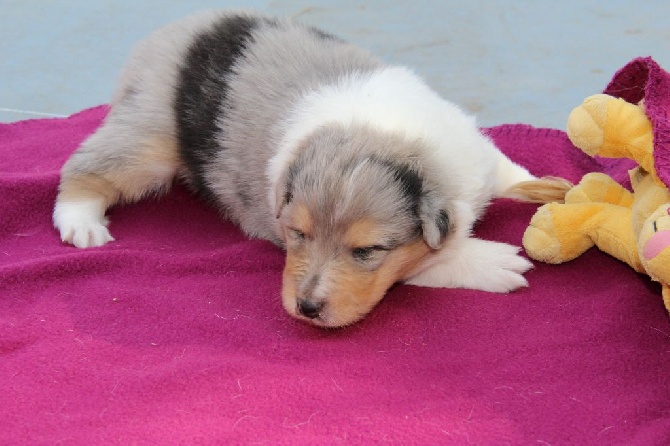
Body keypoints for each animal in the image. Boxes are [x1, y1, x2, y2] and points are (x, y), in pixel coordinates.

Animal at [52, 8, 568, 326]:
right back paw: (82, 223)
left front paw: (551, 188)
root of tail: (162, 37)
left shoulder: (473, 157)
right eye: (297, 234)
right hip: (147, 137)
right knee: (84, 168)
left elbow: (507, 171)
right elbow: (432, 261)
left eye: (366, 250)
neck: (381, 130)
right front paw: (494, 260)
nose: (306, 308)